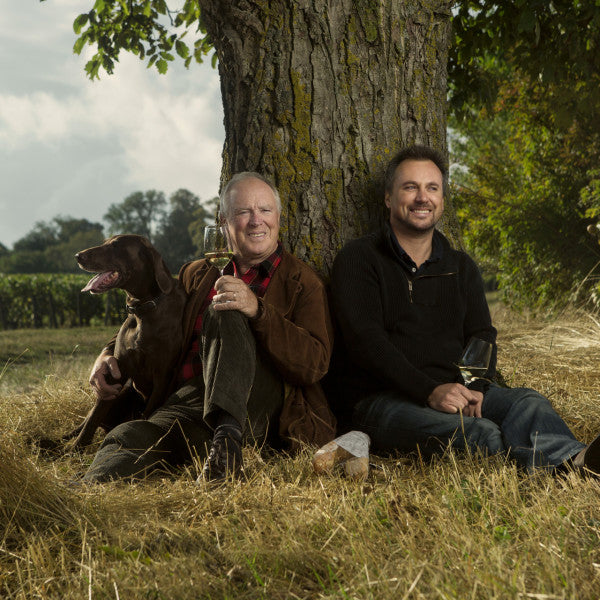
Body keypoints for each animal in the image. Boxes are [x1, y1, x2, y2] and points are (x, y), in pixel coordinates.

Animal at [66, 234, 189, 450]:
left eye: (116, 246)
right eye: (105, 242)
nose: (78, 256)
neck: (144, 309)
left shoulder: (162, 375)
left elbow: (148, 412)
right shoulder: (117, 373)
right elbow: (91, 421)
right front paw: (75, 450)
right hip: (121, 391)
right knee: (83, 424)